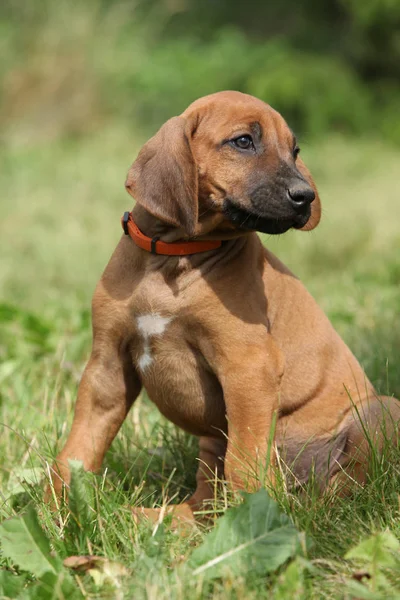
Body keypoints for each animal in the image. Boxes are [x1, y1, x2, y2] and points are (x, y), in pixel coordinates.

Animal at [47, 91, 400, 524]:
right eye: (243, 141)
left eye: (295, 150)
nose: (306, 196)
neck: (173, 258)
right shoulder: (107, 367)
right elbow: (78, 448)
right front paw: (54, 509)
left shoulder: (248, 367)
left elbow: (245, 462)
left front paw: (254, 521)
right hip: (211, 444)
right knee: (202, 506)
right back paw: (149, 518)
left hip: (382, 414)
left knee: (341, 491)